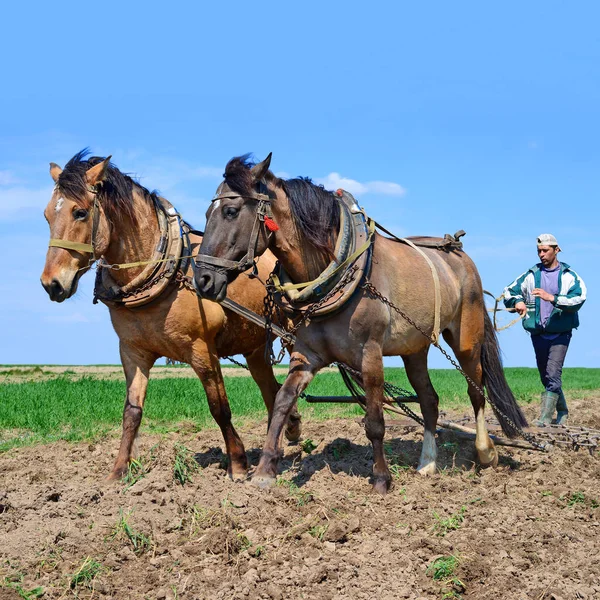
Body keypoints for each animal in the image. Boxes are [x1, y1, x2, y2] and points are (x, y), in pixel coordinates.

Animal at [39, 151, 300, 482]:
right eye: (47, 215)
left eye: (80, 213)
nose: (51, 284)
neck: (165, 271)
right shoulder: (132, 352)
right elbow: (131, 412)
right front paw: (118, 472)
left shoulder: (202, 350)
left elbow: (219, 407)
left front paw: (238, 465)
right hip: (254, 348)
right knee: (272, 391)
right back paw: (285, 435)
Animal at [195, 154, 528, 492]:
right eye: (207, 213)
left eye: (231, 211)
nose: (203, 279)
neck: (332, 273)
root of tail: (458, 252)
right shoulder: (307, 354)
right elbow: (282, 402)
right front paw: (264, 471)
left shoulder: (370, 354)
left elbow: (375, 421)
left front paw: (381, 478)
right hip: (414, 349)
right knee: (429, 400)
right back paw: (427, 463)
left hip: (467, 338)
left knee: (477, 391)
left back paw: (485, 453)